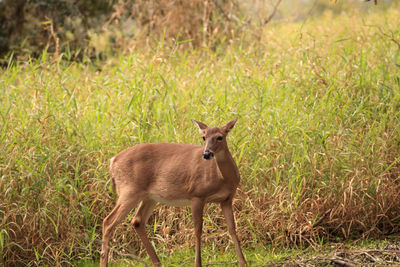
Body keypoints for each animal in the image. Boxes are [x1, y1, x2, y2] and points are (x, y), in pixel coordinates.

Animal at [100, 119, 247, 267]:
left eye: (220, 137)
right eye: (204, 137)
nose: (206, 154)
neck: (223, 178)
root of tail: (113, 161)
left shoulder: (227, 199)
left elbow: (232, 229)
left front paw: (243, 262)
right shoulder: (196, 194)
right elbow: (197, 230)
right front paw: (198, 263)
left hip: (149, 197)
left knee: (137, 221)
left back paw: (157, 262)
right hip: (129, 190)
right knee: (108, 222)